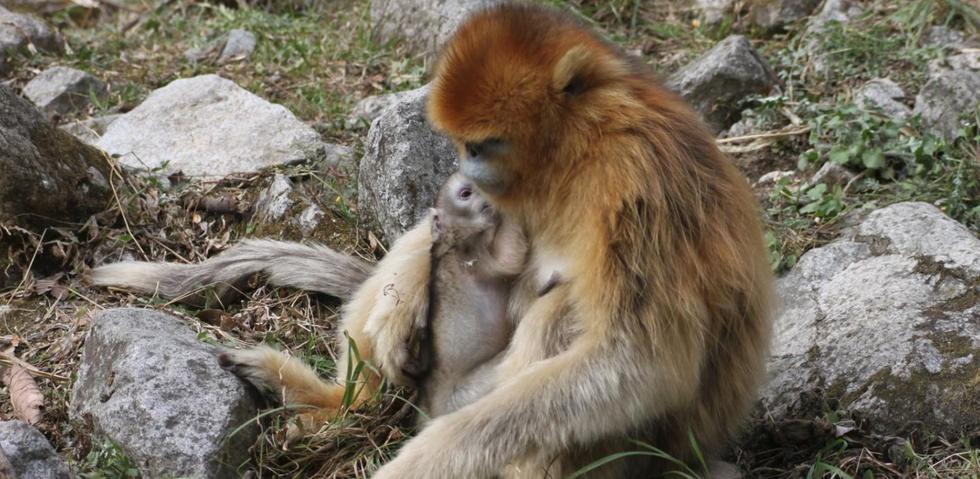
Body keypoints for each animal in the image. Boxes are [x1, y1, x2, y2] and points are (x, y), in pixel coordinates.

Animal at [368, 3, 772, 479]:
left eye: (485, 143)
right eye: (464, 144)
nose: (469, 168)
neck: (583, 144)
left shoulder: (635, 177)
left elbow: (643, 365)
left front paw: (431, 456)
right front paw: (399, 307)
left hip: (652, 447)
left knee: (557, 313)